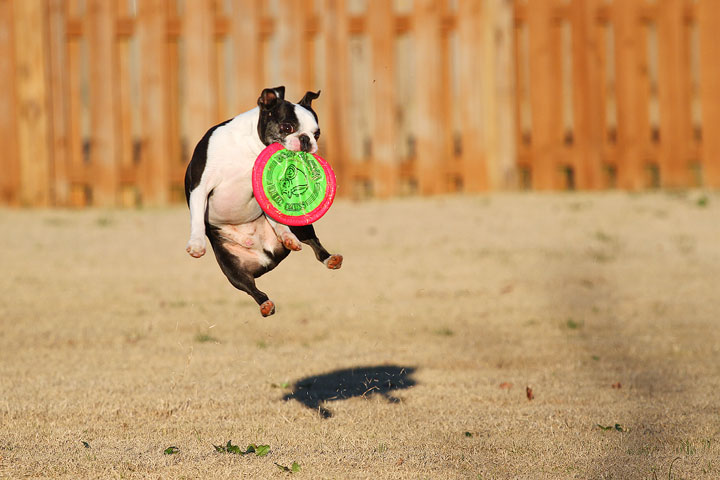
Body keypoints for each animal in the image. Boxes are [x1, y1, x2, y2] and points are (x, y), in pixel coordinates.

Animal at [186, 86, 344, 316]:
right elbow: (197, 217)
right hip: (230, 266)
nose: (306, 140)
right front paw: (196, 244)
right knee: (249, 286)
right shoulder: (200, 186)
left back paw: (320, 253)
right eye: (286, 127)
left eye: (317, 133)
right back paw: (265, 303)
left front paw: (285, 233)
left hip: (300, 226)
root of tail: (265, 255)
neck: (249, 149)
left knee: (312, 242)